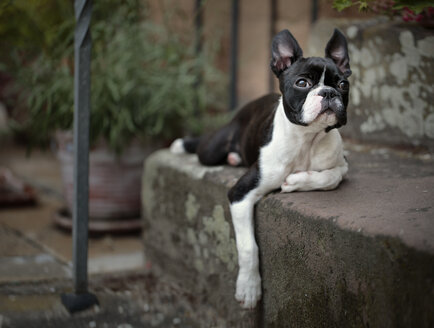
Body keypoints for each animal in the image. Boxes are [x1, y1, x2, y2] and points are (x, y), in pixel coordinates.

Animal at [170, 29, 350, 308]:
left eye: (342, 85)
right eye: (302, 83)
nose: (329, 93)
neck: (307, 140)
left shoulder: (340, 165)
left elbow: (332, 177)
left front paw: (296, 181)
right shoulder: (240, 194)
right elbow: (248, 247)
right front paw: (249, 287)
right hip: (212, 149)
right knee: (203, 146)